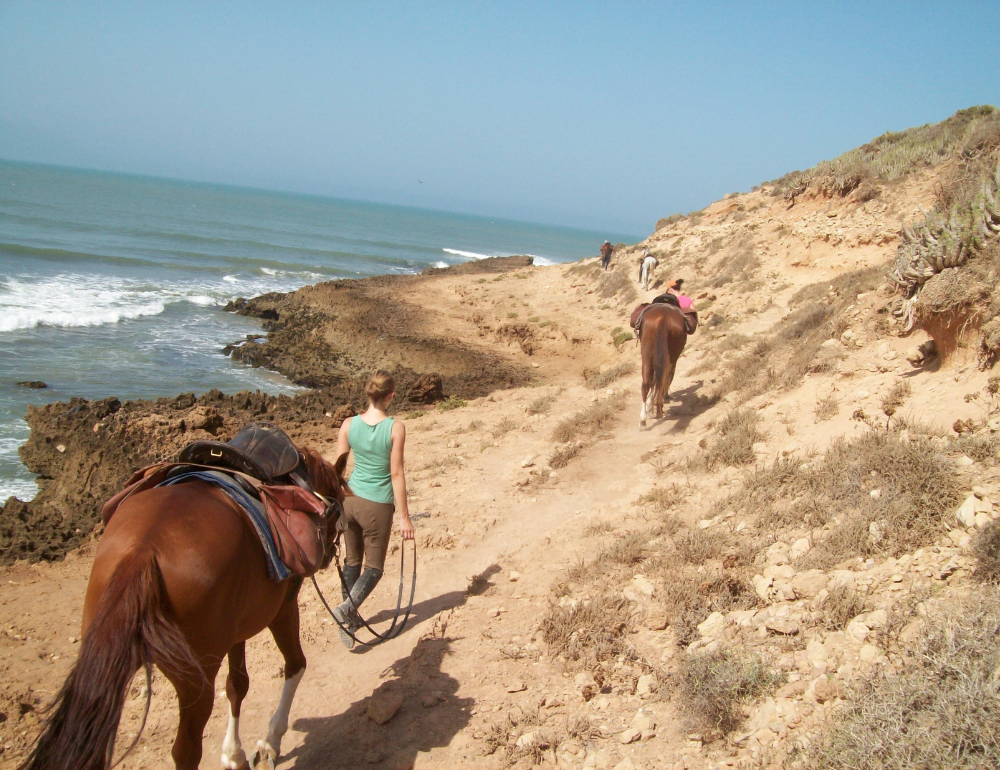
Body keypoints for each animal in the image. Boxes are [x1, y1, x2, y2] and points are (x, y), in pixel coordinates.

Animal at [18, 424, 352, 768]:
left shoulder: (235, 628)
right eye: (337, 507)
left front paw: (234, 753)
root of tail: (142, 552)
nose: (330, 554)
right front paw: (270, 742)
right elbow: (295, 665)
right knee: (186, 750)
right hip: (196, 681)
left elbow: (237, 684)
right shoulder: (282, 610)